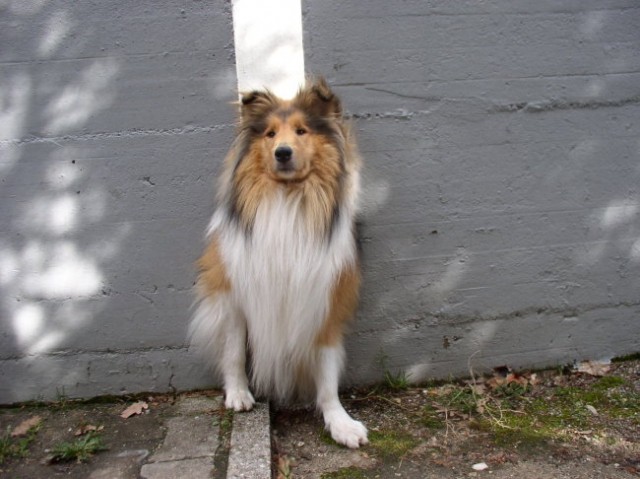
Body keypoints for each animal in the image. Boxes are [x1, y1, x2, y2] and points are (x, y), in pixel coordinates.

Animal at [189, 78, 368, 448]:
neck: (287, 199)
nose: (282, 153)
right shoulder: (236, 295)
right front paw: (238, 394)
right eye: (270, 134)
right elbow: (233, 352)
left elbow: (327, 372)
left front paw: (340, 422)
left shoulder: (324, 299)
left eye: (301, 130)